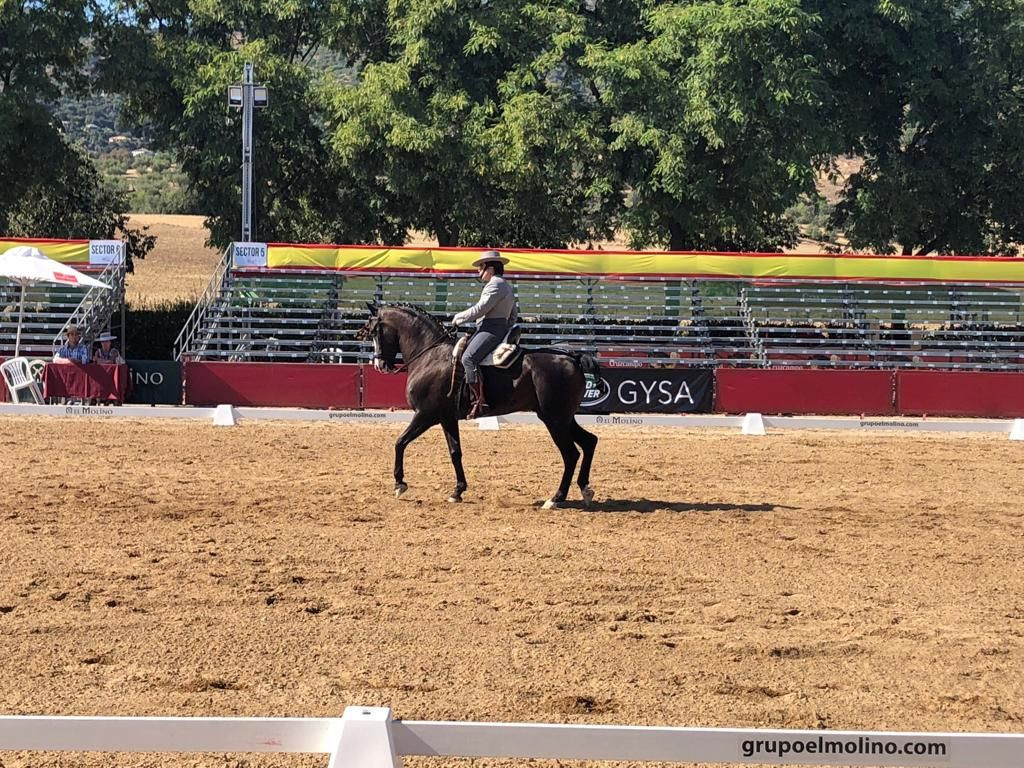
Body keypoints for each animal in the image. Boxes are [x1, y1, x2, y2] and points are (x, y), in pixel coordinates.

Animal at [358, 303, 602, 507]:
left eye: (375, 332)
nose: (380, 364)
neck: (430, 356)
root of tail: (572, 358)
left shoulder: (425, 415)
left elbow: (400, 442)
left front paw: (400, 484)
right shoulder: (446, 418)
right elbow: (455, 452)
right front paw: (457, 491)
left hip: (555, 420)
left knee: (571, 454)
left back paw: (556, 498)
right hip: (563, 418)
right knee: (589, 442)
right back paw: (585, 490)